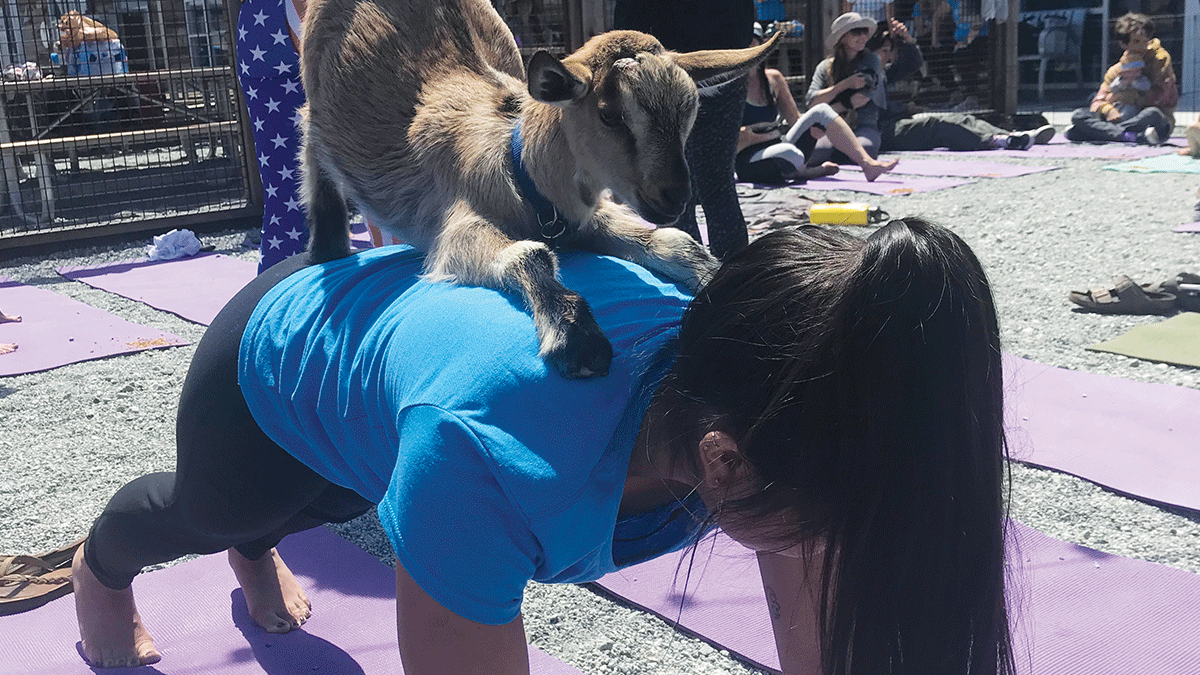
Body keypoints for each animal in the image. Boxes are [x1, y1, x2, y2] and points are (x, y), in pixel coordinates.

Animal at [300, 0, 777, 379]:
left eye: (689, 112)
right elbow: (528, 253)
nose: (674, 196)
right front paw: (574, 336)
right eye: (610, 115)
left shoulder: (585, 221)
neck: (519, 167)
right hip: (312, 93)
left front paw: (726, 278)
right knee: (313, 152)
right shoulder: (455, 228)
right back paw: (326, 250)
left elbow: (675, 241)